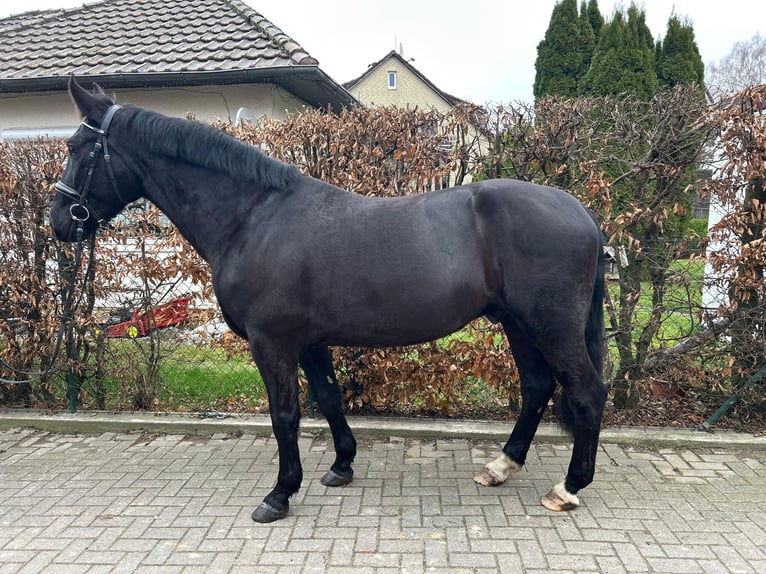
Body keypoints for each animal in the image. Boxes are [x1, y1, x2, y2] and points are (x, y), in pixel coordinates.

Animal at [50, 79, 607, 523]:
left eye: (78, 146)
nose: (58, 222)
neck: (253, 217)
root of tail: (581, 212)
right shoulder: (310, 342)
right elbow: (329, 398)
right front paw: (341, 465)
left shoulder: (272, 343)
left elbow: (285, 415)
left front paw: (279, 495)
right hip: (517, 323)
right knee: (537, 387)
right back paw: (501, 466)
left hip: (551, 325)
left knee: (585, 391)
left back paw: (567, 488)